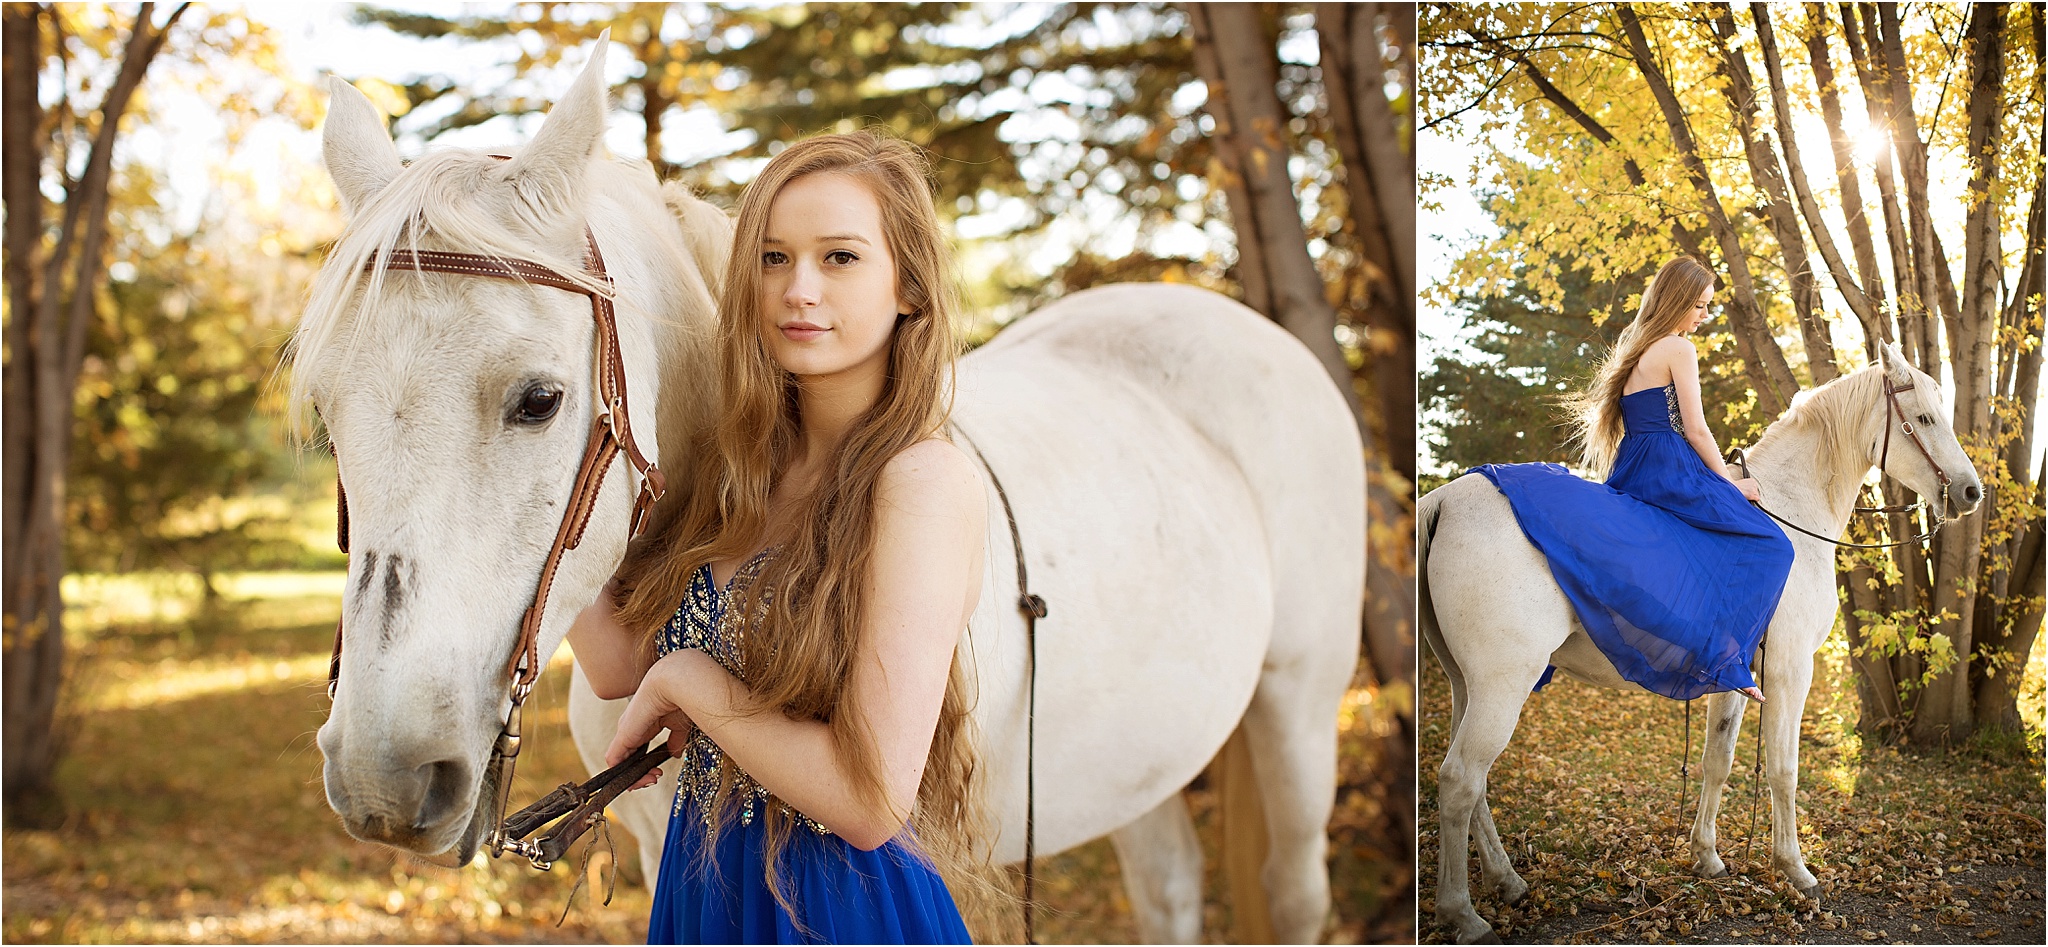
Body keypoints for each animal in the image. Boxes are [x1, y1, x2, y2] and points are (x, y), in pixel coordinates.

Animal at [1418, 345, 1983, 944]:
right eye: (1923, 418)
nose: (1971, 492)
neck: (1789, 511)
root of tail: (1444, 501)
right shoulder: (1790, 672)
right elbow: (1784, 769)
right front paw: (1796, 870)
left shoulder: (1735, 678)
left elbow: (1718, 759)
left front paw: (1706, 856)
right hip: (1502, 685)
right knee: (1460, 781)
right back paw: (1462, 912)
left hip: (1465, 685)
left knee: (1472, 784)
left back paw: (1507, 881)